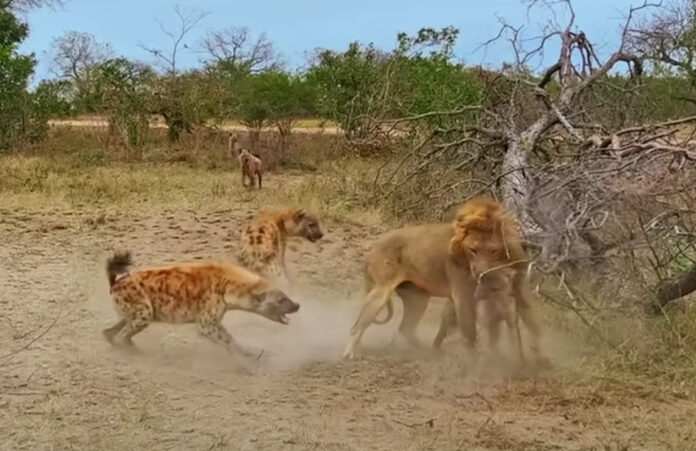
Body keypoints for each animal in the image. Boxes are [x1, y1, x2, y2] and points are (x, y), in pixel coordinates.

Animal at [102, 251, 300, 373]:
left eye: (286, 296)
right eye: (281, 300)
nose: (297, 305)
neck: (229, 287)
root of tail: (116, 282)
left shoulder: (215, 320)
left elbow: (231, 338)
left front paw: (250, 354)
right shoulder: (206, 323)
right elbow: (226, 342)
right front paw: (245, 366)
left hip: (134, 313)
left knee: (110, 332)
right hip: (144, 313)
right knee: (122, 334)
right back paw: (137, 354)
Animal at [343, 197, 547, 366]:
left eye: (493, 250)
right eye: (472, 250)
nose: (480, 273)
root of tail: (372, 249)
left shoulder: (519, 288)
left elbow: (533, 323)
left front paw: (539, 358)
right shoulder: (462, 292)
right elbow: (469, 330)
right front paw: (472, 361)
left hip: (418, 298)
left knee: (405, 328)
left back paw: (427, 352)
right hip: (381, 291)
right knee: (357, 326)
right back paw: (352, 353)